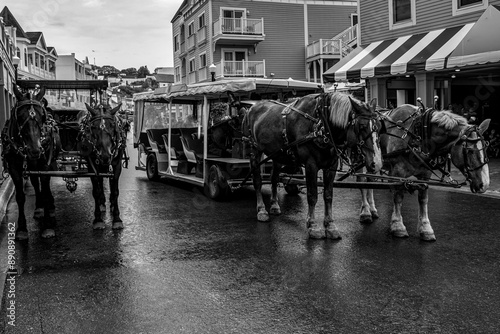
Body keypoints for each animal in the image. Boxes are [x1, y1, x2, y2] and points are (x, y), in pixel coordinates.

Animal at [0, 85, 60, 239]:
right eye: (19, 116)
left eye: (41, 116)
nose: (35, 150)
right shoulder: (14, 169)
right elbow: (20, 197)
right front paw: (21, 228)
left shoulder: (45, 166)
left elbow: (45, 189)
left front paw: (48, 226)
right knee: (35, 183)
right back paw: (39, 207)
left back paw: (50, 206)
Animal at [242, 92, 382, 240]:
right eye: (362, 126)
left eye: (379, 126)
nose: (377, 163)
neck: (321, 124)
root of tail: (251, 108)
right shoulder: (310, 165)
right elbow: (312, 195)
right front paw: (313, 225)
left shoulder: (331, 166)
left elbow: (328, 195)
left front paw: (330, 225)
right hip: (254, 151)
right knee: (257, 181)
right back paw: (261, 210)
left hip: (277, 155)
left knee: (274, 178)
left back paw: (274, 205)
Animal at [358, 104, 490, 240]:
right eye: (469, 151)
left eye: (486, 147)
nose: (484, 185)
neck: (418, 135)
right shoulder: (398, 172)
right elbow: (398, 197)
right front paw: (398, 226)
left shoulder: (425, 175)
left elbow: (423, 199)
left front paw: (426, 228)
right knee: (361, 182)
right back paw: (366, 212)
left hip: (373, 163)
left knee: (370, 181)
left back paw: (373, 209)